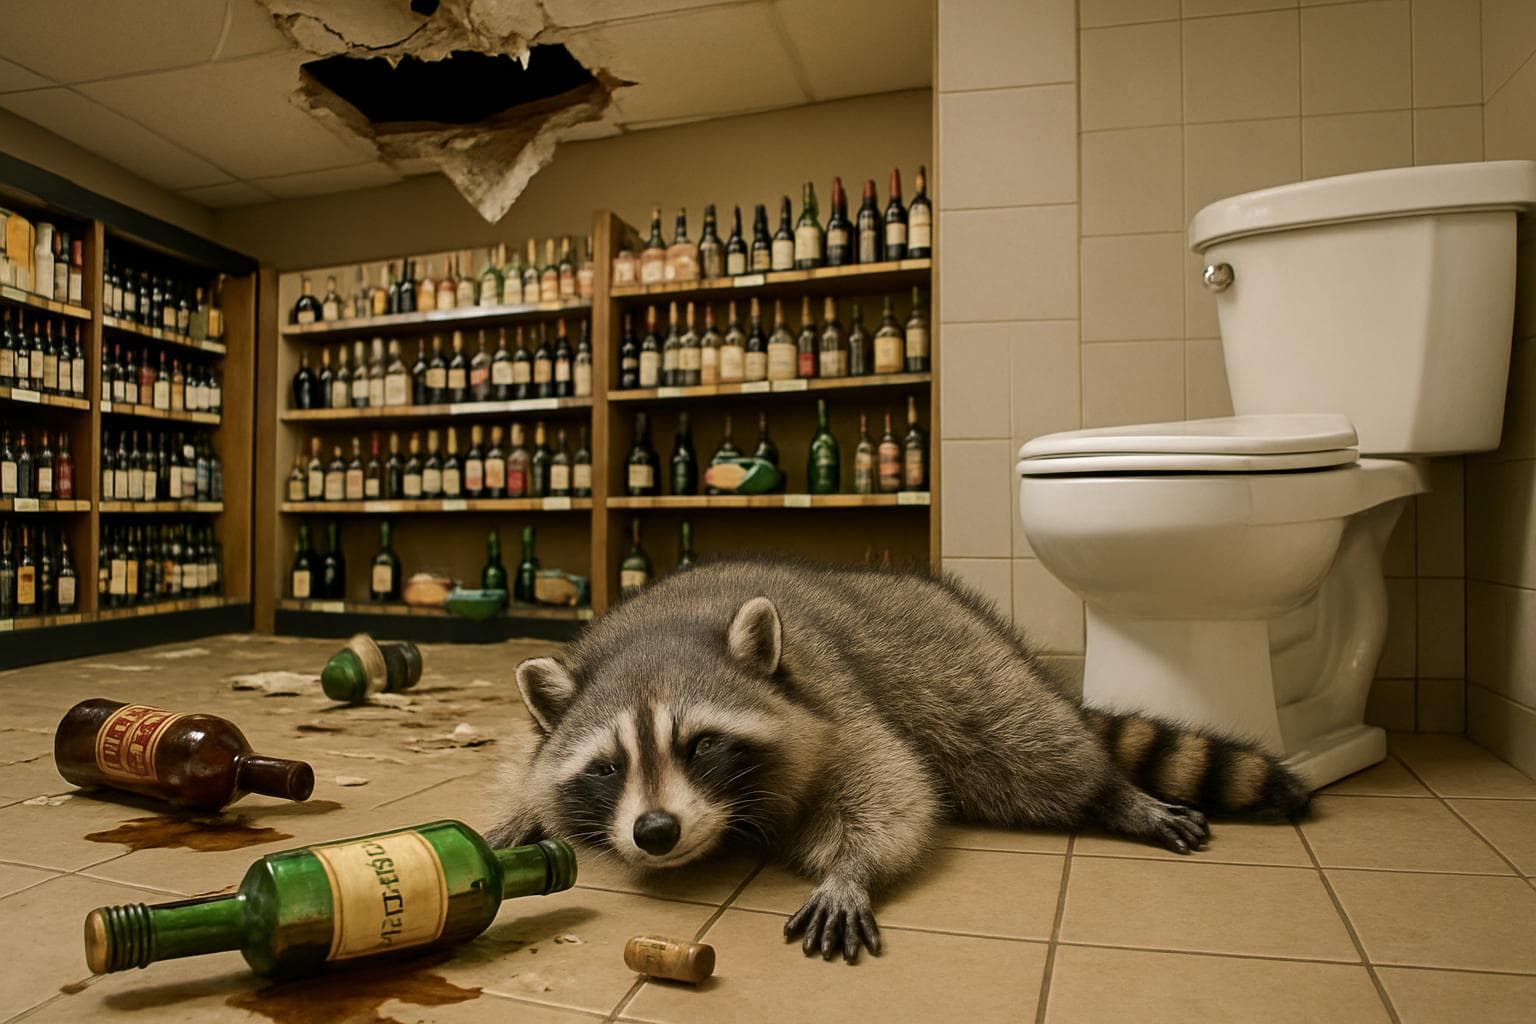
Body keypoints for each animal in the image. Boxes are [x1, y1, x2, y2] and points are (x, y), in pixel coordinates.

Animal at [487, 558, 1310, 963]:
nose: (655, 832)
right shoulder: (547, 732)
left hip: (955, 659)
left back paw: (1107, 790)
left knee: (1025, 744)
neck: (657, 632)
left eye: (703, 745)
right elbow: (524, 773)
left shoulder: (834, 699)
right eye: (607, 766)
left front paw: (854, 868)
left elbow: (889, 787)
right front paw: (518, 819)